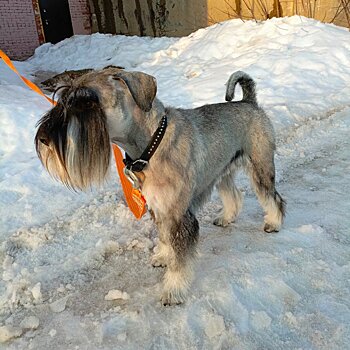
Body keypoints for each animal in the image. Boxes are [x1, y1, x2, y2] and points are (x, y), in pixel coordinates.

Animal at [35, 67, 286, 304]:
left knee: (274, 198)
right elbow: (165, 237)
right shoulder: (160, 208)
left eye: (87, 102)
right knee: (233, 195)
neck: (151, 145)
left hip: (260, 168)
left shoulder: (178, 215)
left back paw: (274, 222)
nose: (44, 139)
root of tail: (249, 102)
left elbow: (180, 259)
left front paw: (173, 291)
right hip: (220, 172)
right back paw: (226, 218)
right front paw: (164, 256)